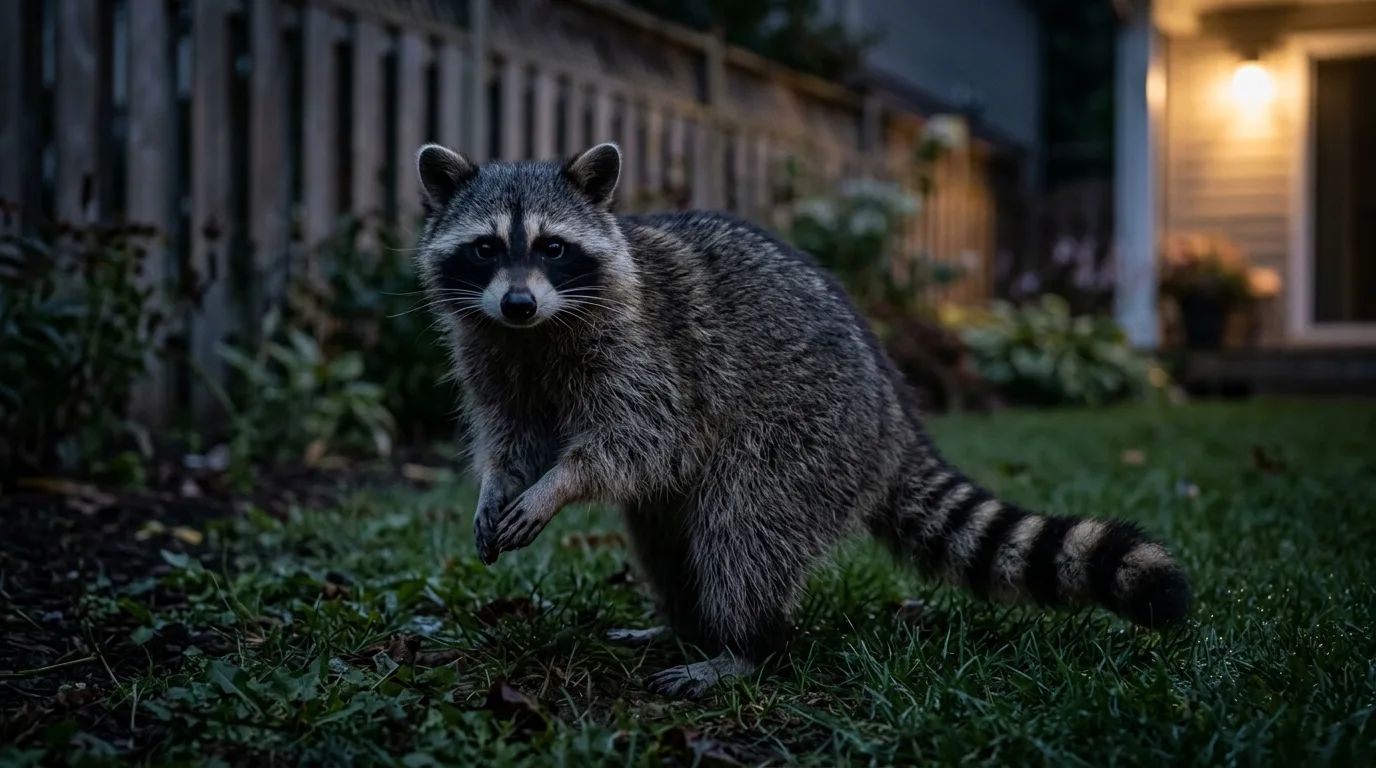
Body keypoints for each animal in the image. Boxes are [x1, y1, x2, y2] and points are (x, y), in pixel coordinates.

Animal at [412, 141, 1192, 698]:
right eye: (485, 247)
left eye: (552, 247)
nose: (517, 302)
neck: (533, 333)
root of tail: (891, 405)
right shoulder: (493, 356)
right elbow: (511, 436)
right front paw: (497, 483)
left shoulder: (646, 354)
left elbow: (636, 441)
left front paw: (559, 484)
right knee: (666, 537)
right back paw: (684, 624)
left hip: (807, 433)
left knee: (744, 527)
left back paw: (744, 645)